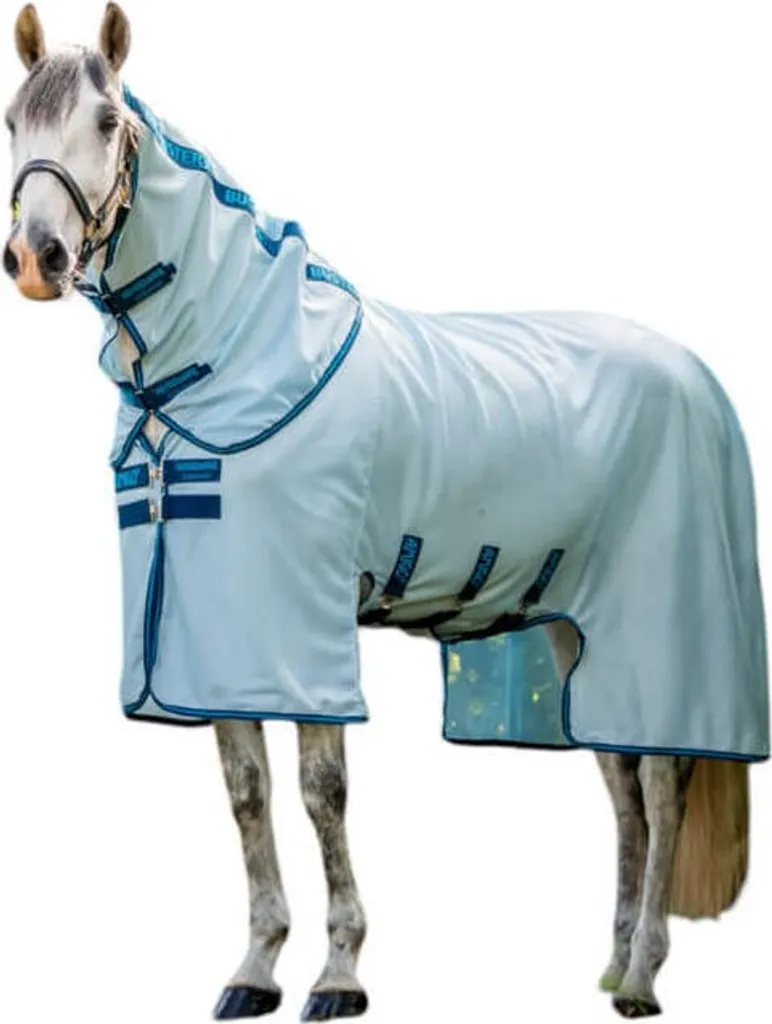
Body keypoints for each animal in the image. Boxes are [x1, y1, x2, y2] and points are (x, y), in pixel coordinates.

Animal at [4, 5, 768, 1020]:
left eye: (104, 122)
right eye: (14, 121)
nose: (35, 259)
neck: (228, 358)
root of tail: (696, 374)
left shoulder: (300, 627)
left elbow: (322, 789)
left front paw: (338, 974)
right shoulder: (216, 640)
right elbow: (247, 792)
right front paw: (254, 970)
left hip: (659, 633)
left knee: (663, 776)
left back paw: (642, 976)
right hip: (577, 626)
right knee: (621, 779)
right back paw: (611, 965)